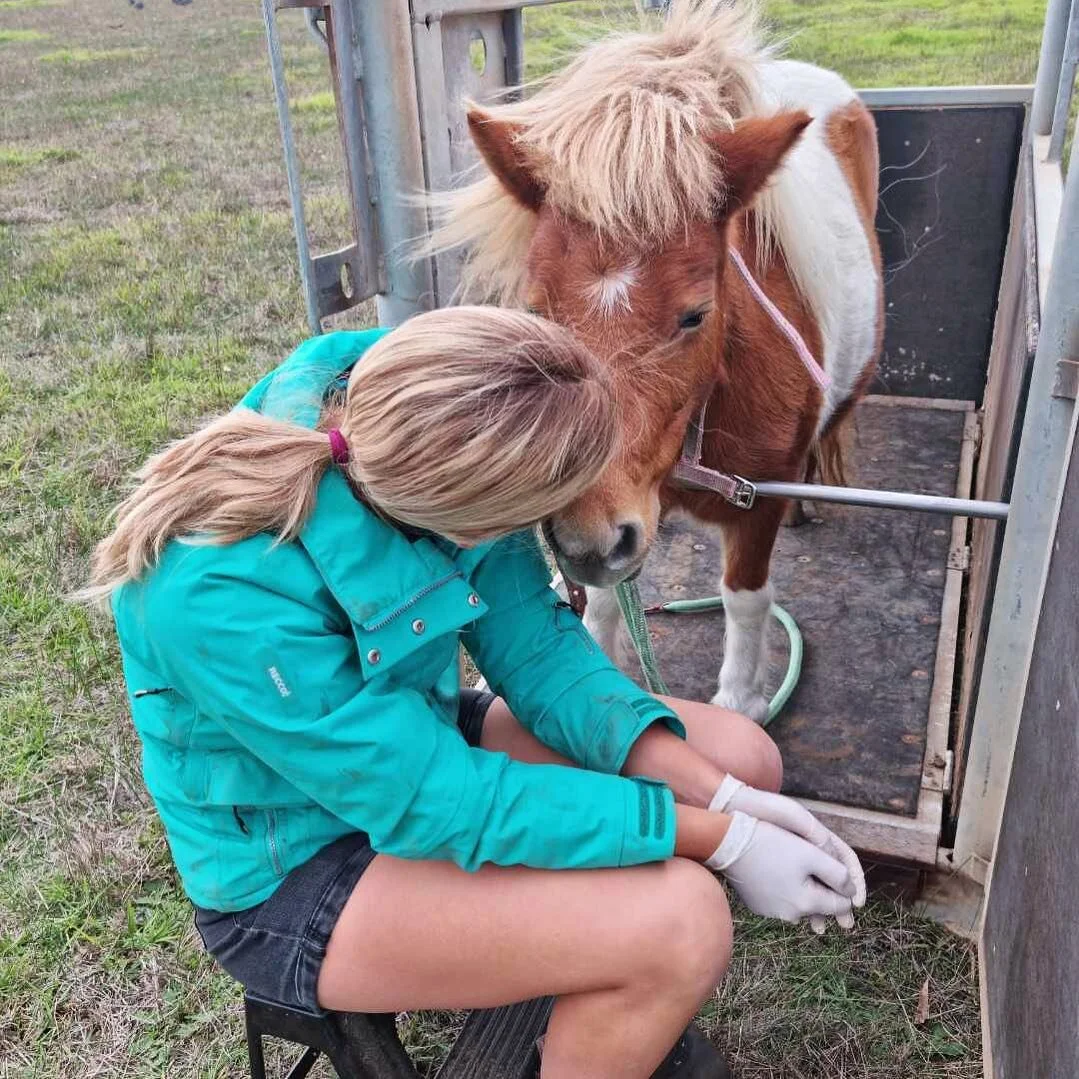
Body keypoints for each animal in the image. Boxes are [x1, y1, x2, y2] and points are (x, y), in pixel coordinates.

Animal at [431, 0, 883, 724]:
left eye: (695, 314)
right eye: (536, 306)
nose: (584, 539)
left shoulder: (756, 505)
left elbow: (745, 599)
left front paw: (741, 703)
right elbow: (605, 600)